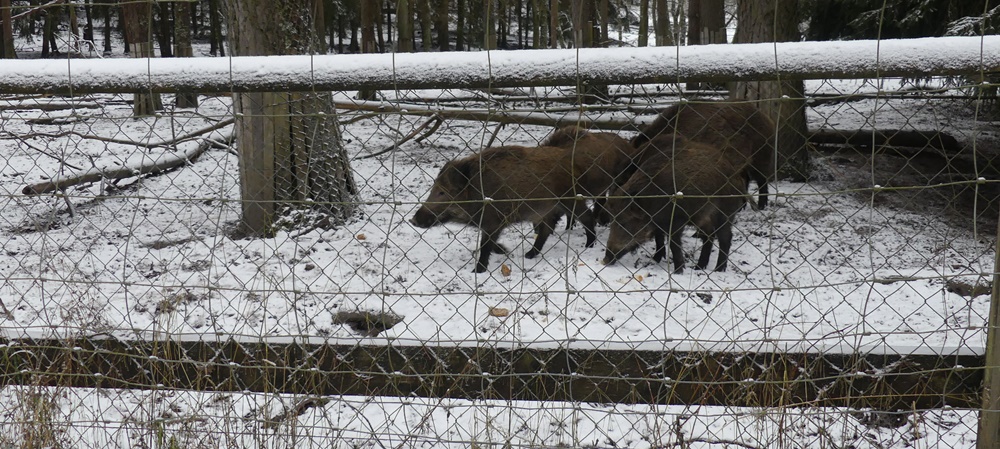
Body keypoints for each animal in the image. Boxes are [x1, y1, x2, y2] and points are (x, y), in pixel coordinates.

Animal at [410, 145, 597, 273]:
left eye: (442, 192)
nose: (413, 220)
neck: (476, 193)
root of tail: (576, 164)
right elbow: (489, 243)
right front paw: (504, 251)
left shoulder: (492, 221)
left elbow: (485, 245)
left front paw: (477, 271)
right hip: (544, 209)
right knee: (547, 228)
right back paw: (529, 254)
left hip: (569, 199)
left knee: (587, 216)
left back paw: (589, 245)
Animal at [603, 135, 748, 273]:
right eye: (612, 219)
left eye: (624, 222)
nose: (605, 260)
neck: (651, 201)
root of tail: (738, 178)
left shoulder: (677, 219)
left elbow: (673, 243)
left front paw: (677, 271)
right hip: (704, 218)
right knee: (709, 235)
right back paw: (698, 267)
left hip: (725, 213)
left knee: (725, 238)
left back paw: (718, 270)